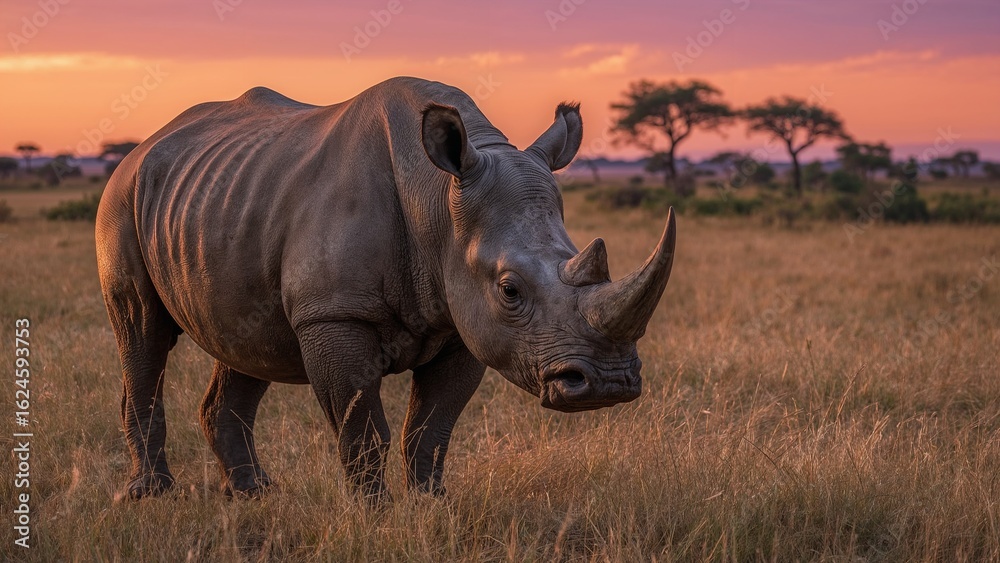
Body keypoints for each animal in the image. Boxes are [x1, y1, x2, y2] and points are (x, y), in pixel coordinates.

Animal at [96, 77, 676, 500]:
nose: (608, 384)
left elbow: (431, 429)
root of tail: (142, 147)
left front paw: (430, 508)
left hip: (228, 200)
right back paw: (153, 497)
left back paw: (254, 496)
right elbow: (363, 430)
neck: (439, 199)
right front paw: (372, 514)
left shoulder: (463, 320)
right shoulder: (334, 314)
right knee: (142, 330)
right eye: (510, 290)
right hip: (121, 200)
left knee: (245, 342)